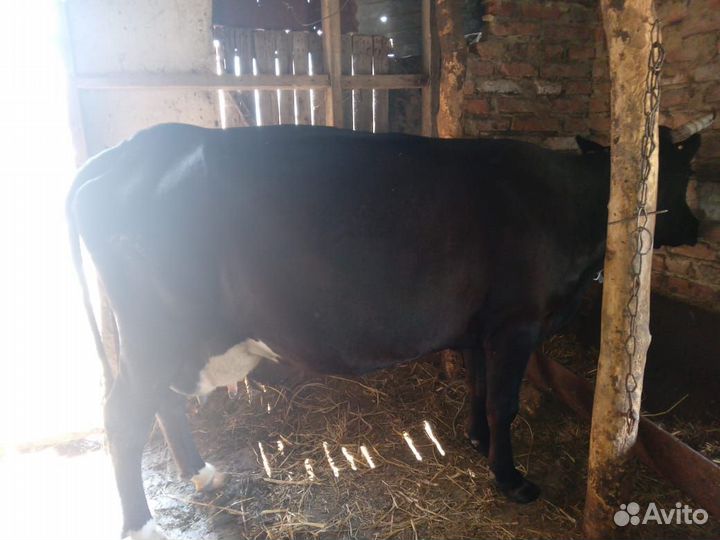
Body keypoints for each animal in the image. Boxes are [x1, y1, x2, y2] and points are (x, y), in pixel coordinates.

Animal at [67, 114, 712, 539]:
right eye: (680, 171)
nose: (698, 227)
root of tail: (125, 151)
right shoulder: (516, 322)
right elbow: (504, 401)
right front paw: (511, 479)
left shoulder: (480, 326)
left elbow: (478, 385)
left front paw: (475, 438)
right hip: (154, 330)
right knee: (123, 415)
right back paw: (141, 524)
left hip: (167, 337)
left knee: (161, 402)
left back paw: (201, 475)